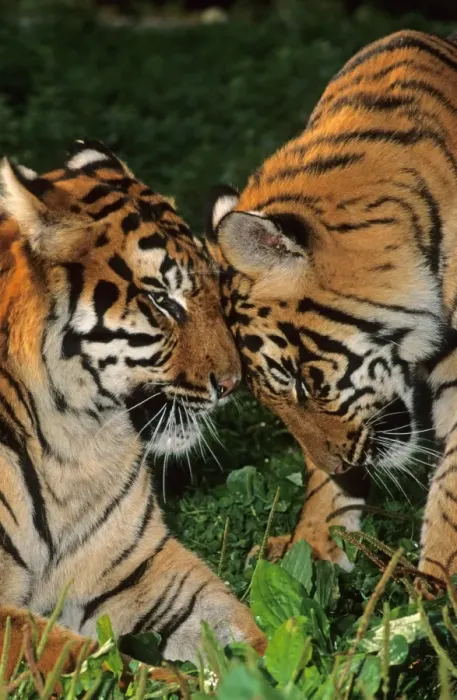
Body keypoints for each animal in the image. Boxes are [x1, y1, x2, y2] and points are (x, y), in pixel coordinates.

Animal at [0, 138, 265, 678]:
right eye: (163, 301)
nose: (233, 383)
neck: (70, 443)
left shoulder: (138, 567)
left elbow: (238, 624)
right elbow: (97, 666)